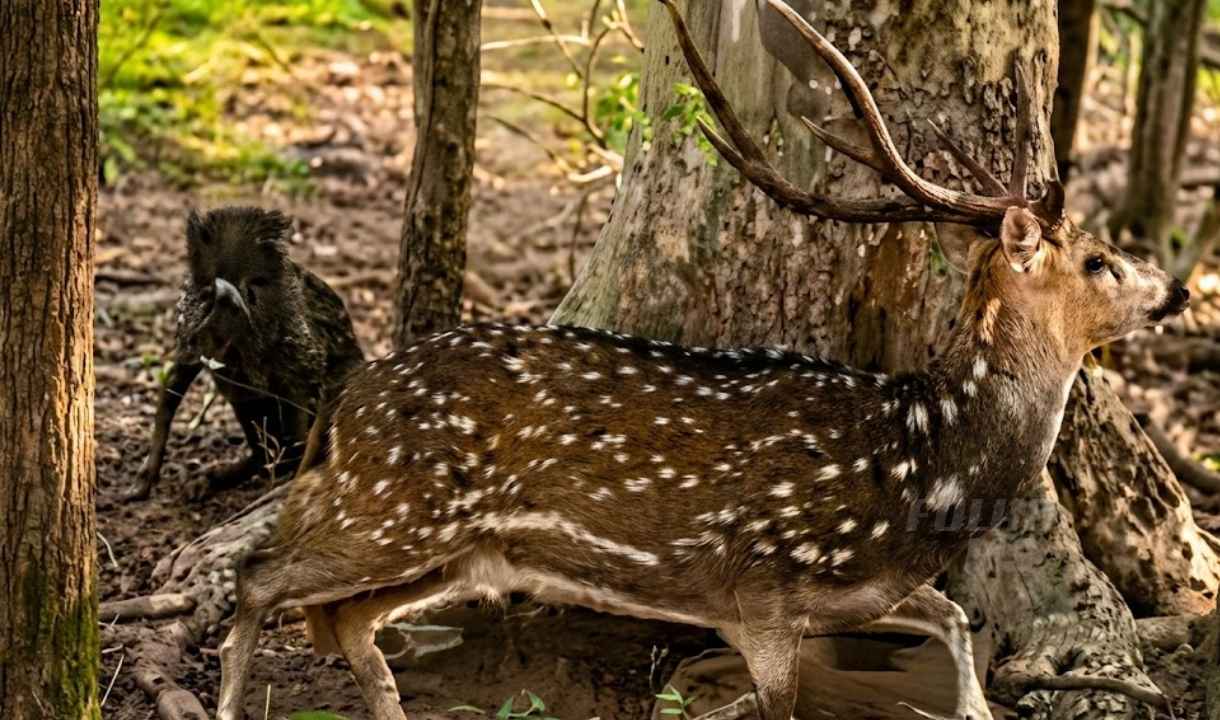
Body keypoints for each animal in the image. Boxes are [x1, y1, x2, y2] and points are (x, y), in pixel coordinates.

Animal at [214, 2, 1190, 719]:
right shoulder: (762, 595)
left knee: (344, 621)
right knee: (260, 575)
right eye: (1099, 260)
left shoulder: (858, 594)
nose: (1178, 289)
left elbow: (953, 615)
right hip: (397, 508)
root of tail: (343, 406)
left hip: (453, 550)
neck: (924, 468)